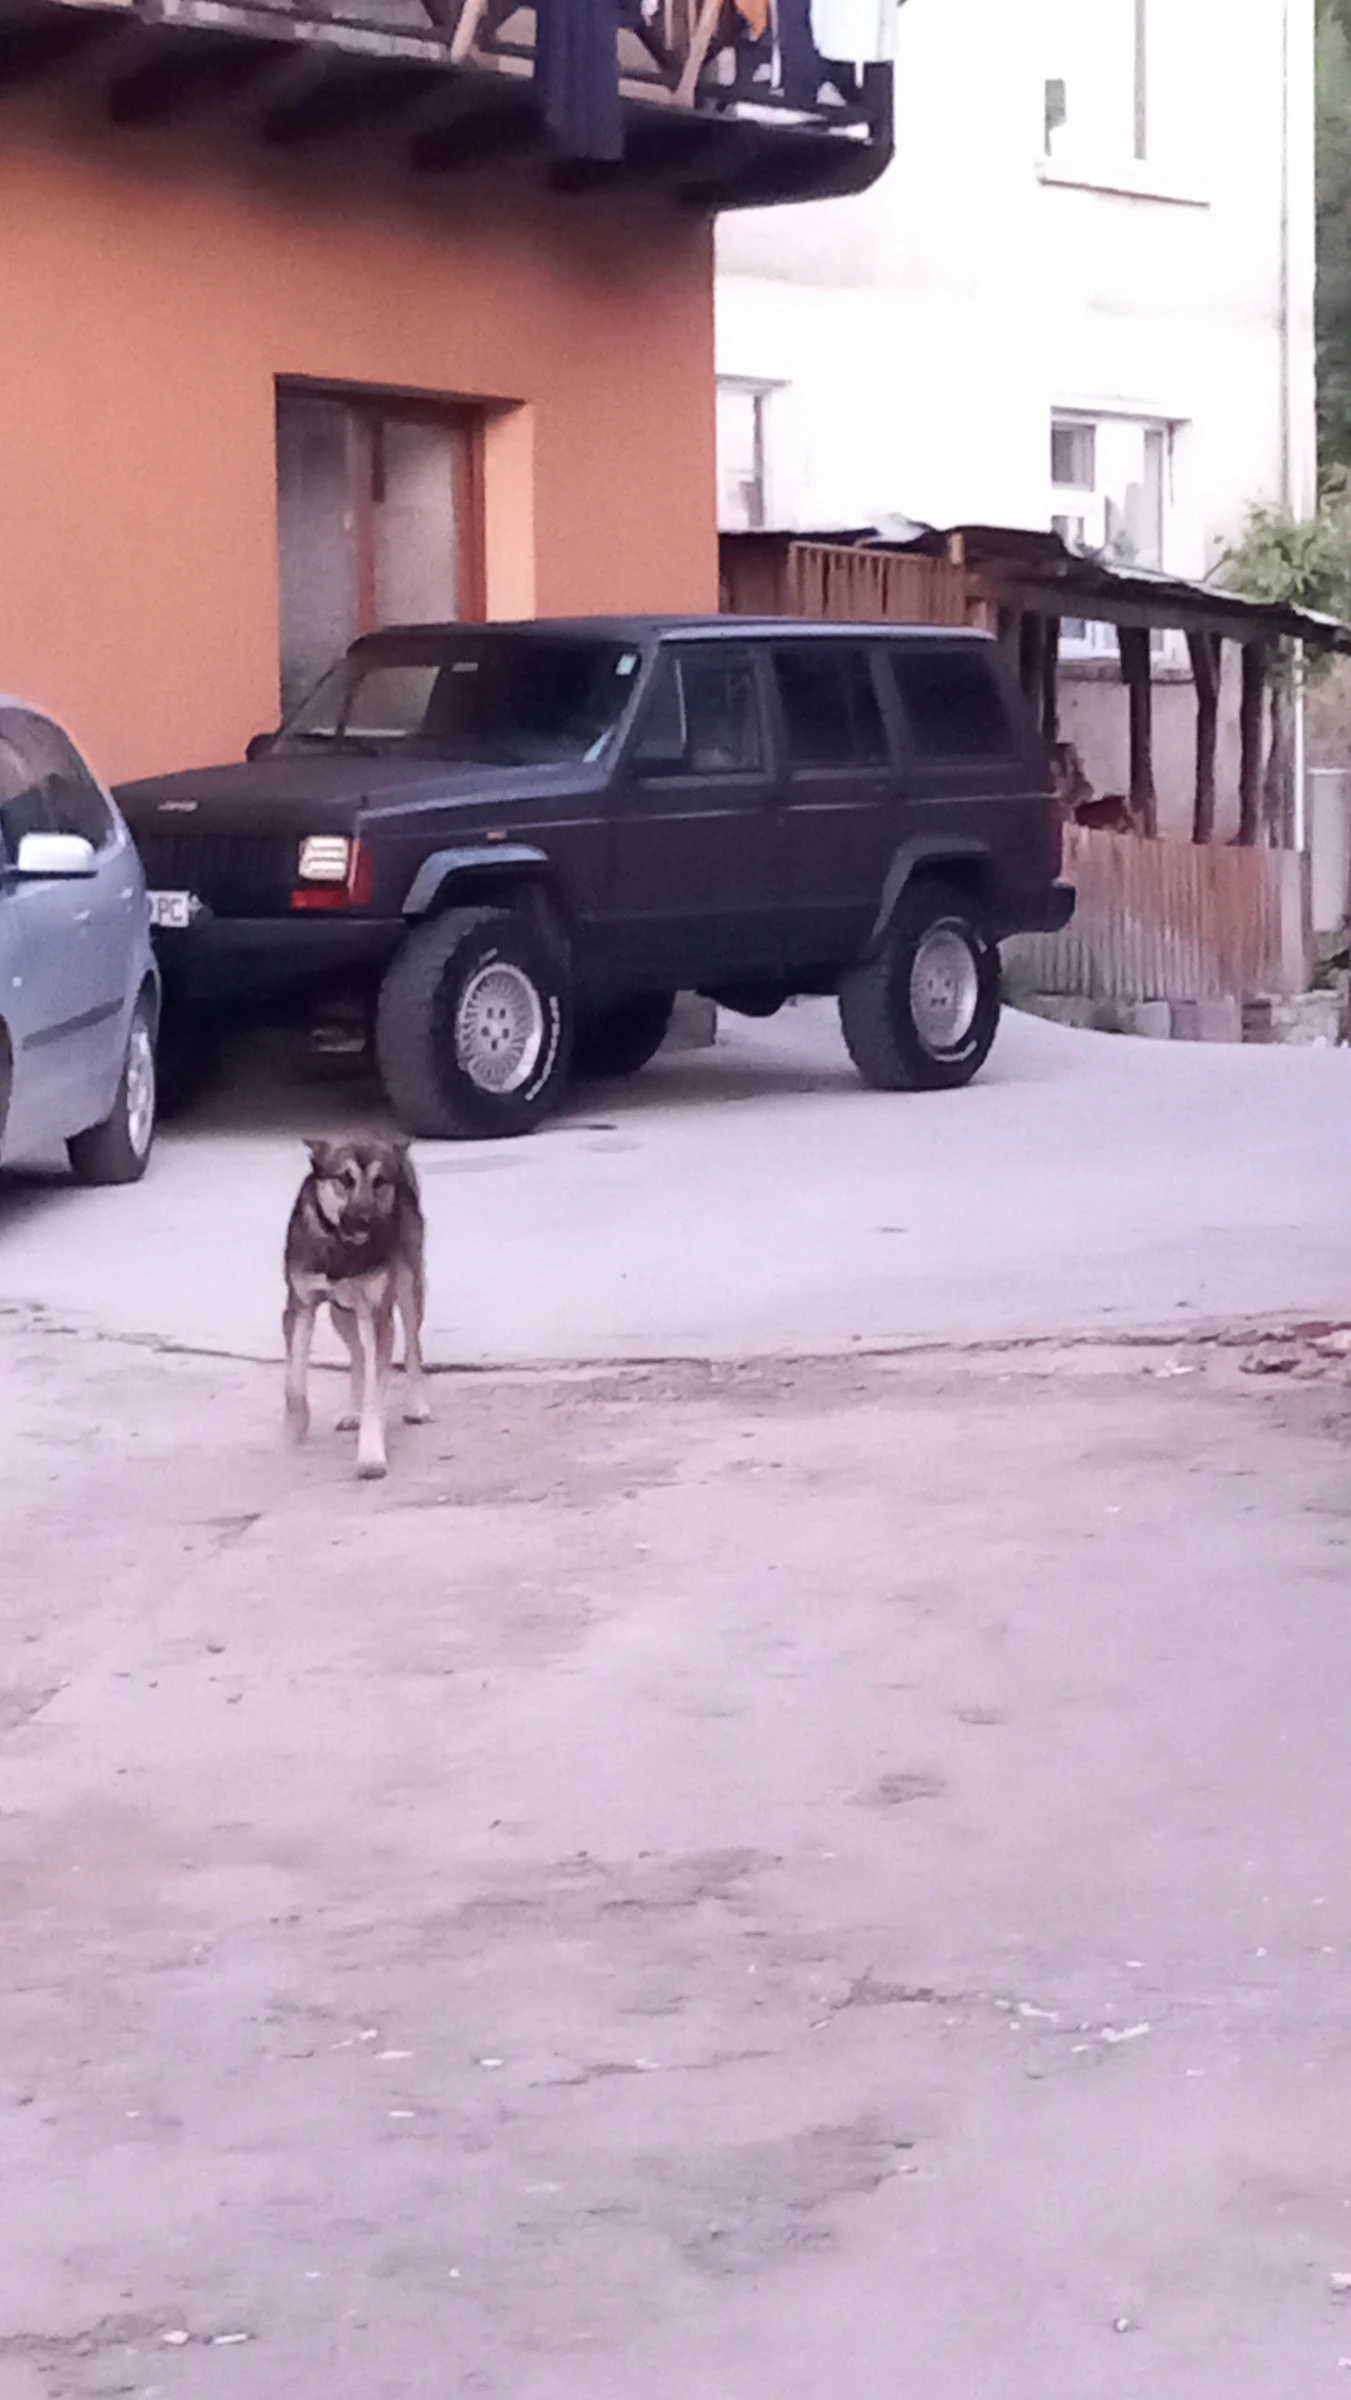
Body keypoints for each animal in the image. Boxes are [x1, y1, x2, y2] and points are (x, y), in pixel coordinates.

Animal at [283, 1132, 431, 1468]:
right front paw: (295, 1430)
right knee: (359, 1356)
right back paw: (352, 1412)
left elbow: (375, 1391)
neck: (342, 1248)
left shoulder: (377, 1314)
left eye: (380, 1181)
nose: (364, 1221)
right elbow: (294, 1382)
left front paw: (371, 1455)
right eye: (343, 1179)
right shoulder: (299, 1307)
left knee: (412, 1348)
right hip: (342, 1313)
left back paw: (417, 1406)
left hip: (408, 1290)